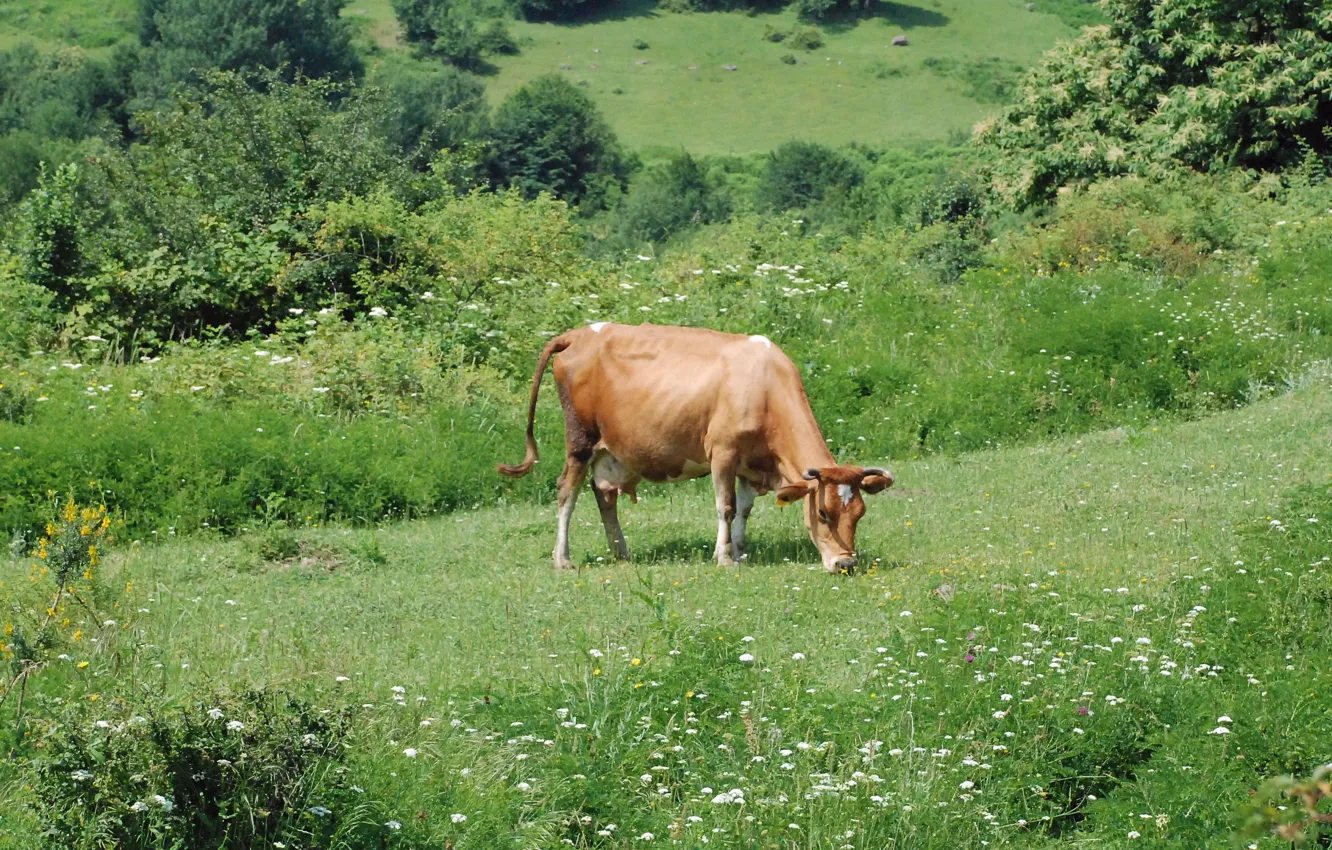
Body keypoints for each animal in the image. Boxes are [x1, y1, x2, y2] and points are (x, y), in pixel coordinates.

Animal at [497, 323, 894, 573]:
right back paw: (562, 558)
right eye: (823, 514)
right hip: (580, 439)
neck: (764, 384)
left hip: (611, 450)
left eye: (860, 514)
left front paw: (739, 550)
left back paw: (621, 552)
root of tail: (577, 334)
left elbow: (745, 509)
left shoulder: (752, 462)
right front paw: (724, 557)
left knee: (604, 494)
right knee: (567, 492)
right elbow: (727, 506)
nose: (846, 563)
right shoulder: (723, 453)